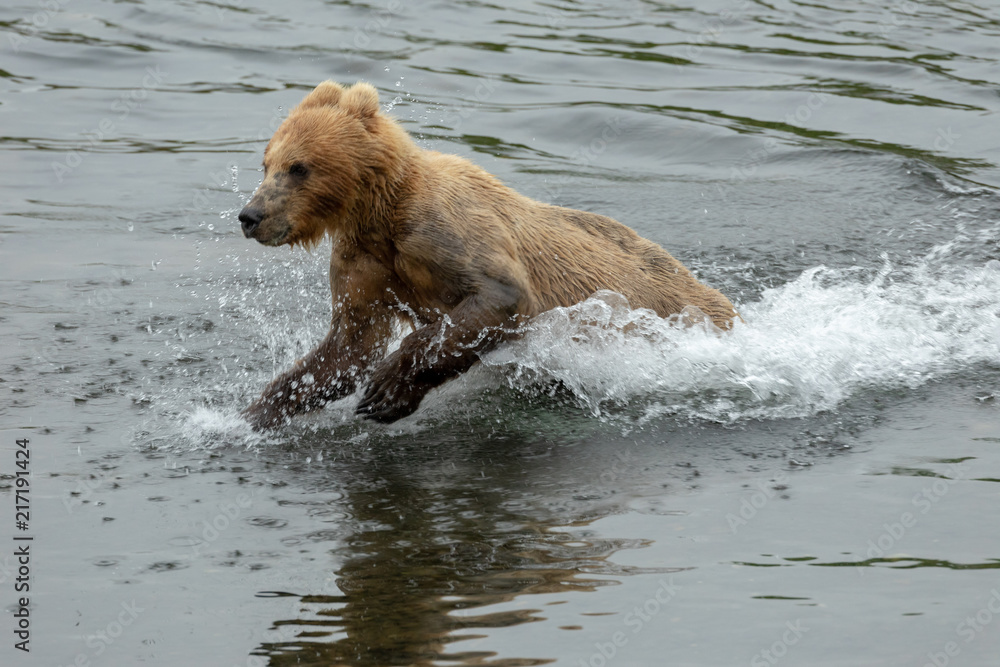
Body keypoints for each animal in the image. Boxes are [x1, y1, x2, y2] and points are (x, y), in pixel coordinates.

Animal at [238, 80, 738, 429]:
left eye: (298, 167)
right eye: (266, 163)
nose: (250, 215)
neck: (378, 212)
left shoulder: (443, 230)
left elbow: (499, 296)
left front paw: (386, 389)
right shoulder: (364, 261)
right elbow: (350, 344)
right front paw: (255, 412)